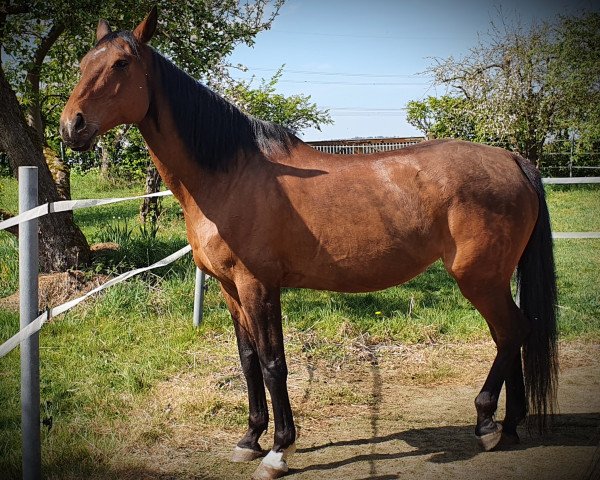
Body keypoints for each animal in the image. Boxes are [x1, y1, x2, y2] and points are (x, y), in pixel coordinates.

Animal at [59, 8, 556, 480]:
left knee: (511, 333)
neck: (230, 175)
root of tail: (513, 159)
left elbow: (273, 362)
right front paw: (249, 439)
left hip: (478, 278)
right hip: (493, 279)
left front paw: (279, 450)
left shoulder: (259, 285)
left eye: (121, 63)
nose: (70, 127)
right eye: (82, 63)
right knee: (511, 334)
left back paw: (487, 424)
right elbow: (248, 360)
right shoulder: (229, 287)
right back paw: (508, 426)